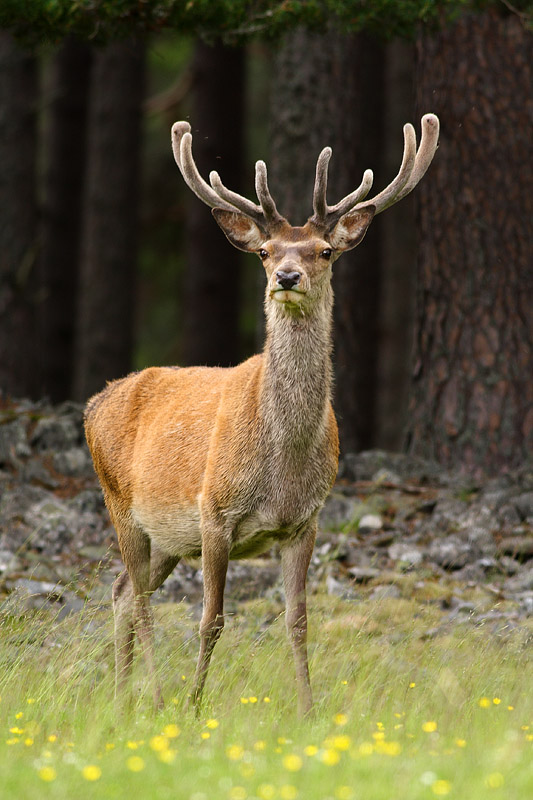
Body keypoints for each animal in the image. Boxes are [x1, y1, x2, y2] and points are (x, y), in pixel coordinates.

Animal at [84, 113, 439, 716]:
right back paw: (154, 698)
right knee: (143, 604)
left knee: (123, 594)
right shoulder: (214, 512)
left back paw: (121, 700)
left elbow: (298, 622)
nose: (288, 277)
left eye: (324, 250)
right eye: (266, 252)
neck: (282, 462)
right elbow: (211, 620)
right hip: (122, 505)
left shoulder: (305, 520)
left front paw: (308, 711)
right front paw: (193, 705)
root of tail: (92, 404)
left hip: (165, 537)